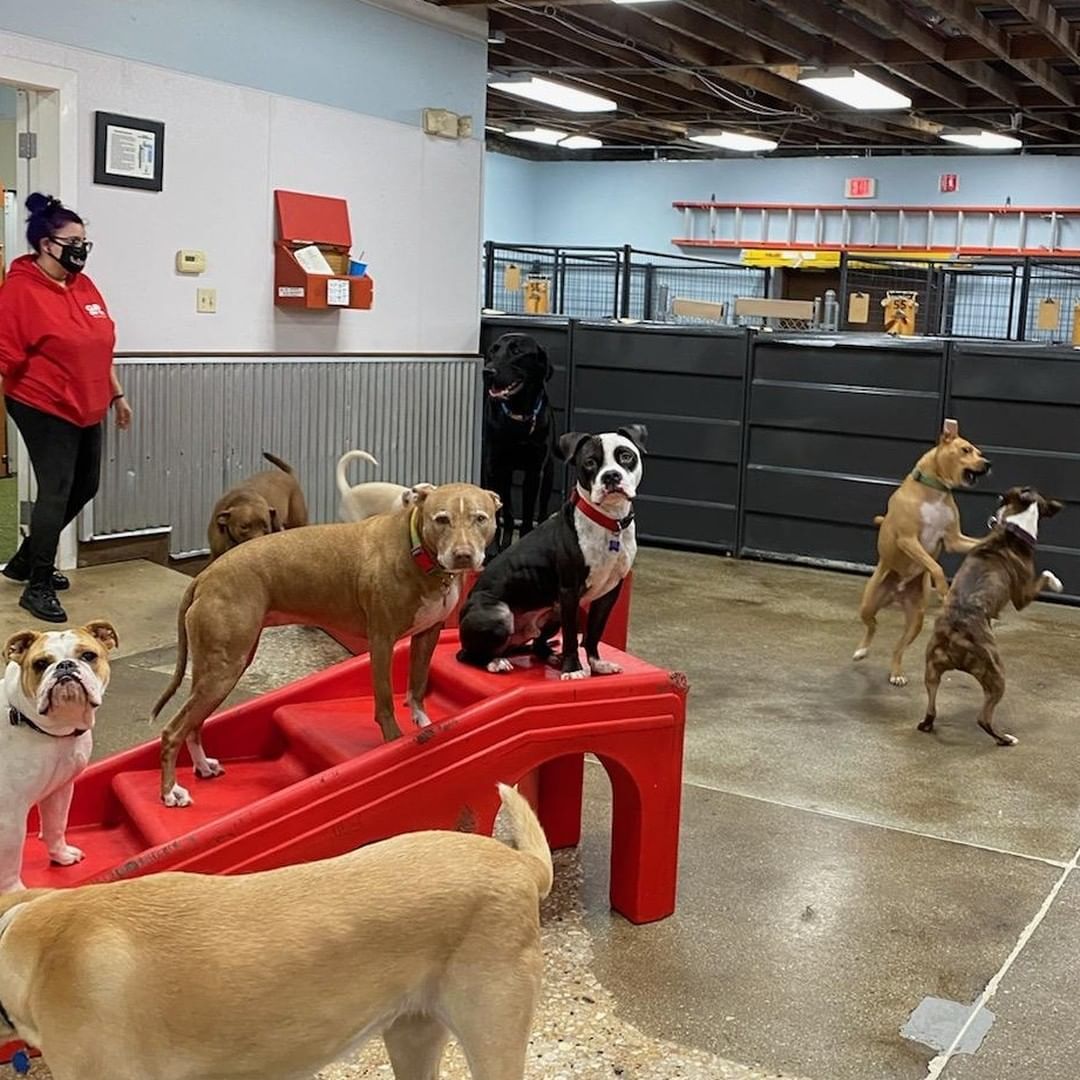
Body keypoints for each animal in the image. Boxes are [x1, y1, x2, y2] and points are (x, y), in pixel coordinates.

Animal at [151, 486, 496, 807]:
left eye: (481, 518)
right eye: (441, 519)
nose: (463, 555)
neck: (418, 552)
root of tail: (206, 576)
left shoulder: (428, 634)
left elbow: (418, 686)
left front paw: (424, 724)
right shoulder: (381, 641)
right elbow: (385, 703)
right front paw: (394, 742)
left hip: (217, 666)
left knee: (193, 723)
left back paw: (202, 766)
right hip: (224, 669)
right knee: (173, 730)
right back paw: (170, 792)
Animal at [457, 425, 643, 678]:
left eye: (625, 456)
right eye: (590, 462)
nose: (611, 476)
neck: (608, 522)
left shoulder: (609, 593)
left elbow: (594, 631)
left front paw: (596, 664)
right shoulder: (569, 591)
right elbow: (572, 636)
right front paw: (573, 670)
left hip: (553, 609)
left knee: (537, 645)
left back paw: (552, 657)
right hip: (500, 613)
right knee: (468, 654)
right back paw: (495, 662)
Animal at [483, 332, 552, 552]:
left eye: (516, 351)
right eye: (493, 350)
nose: (487, 371)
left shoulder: (534, 471)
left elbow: (528, 514)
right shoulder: (493, 467)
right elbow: (496, 514)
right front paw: (492, 550)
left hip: (548, 474)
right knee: (509, 514)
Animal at [855, 419, 989, 682]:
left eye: (979, 452)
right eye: (966, 450)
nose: (988, 464)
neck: (934, 490)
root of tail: (896, 594)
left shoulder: (954, 540)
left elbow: (975, 543)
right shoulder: (908, 540)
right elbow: (935, 566)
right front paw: (944, 590)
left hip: (915, 620)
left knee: (898, 647)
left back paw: (896, 672)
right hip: (868, 604)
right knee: (872, 626)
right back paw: (862, 650)